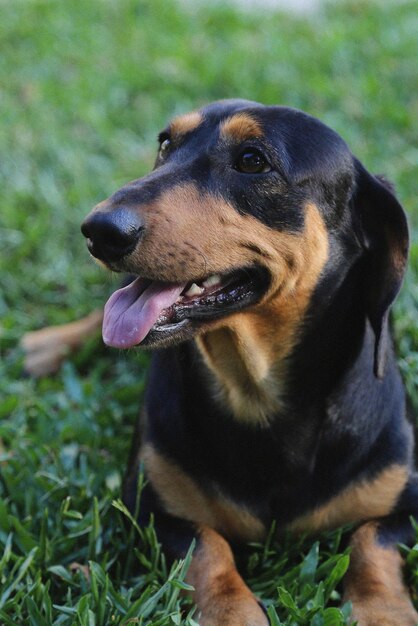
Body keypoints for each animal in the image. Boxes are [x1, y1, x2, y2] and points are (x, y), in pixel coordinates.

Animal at [23, 100, 418, 620]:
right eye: (165, 143)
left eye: (252, 160)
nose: (99, 231)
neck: (255, 390)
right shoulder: (152, 511)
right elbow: (208, 552)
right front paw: (234, 613)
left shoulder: (404, 509)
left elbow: (372, 541)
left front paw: (381, 610)